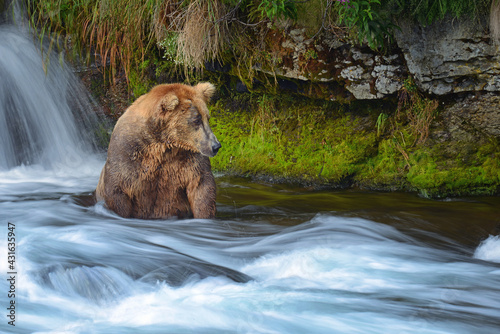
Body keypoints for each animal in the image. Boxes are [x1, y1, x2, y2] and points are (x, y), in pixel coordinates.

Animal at [95, 82, 221, 219]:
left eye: (207, 117)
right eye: (196, 120)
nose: (216, 146)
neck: (163, 145)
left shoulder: (189, 159)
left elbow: (202, 187)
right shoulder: (127, 155)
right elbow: (117, 191)